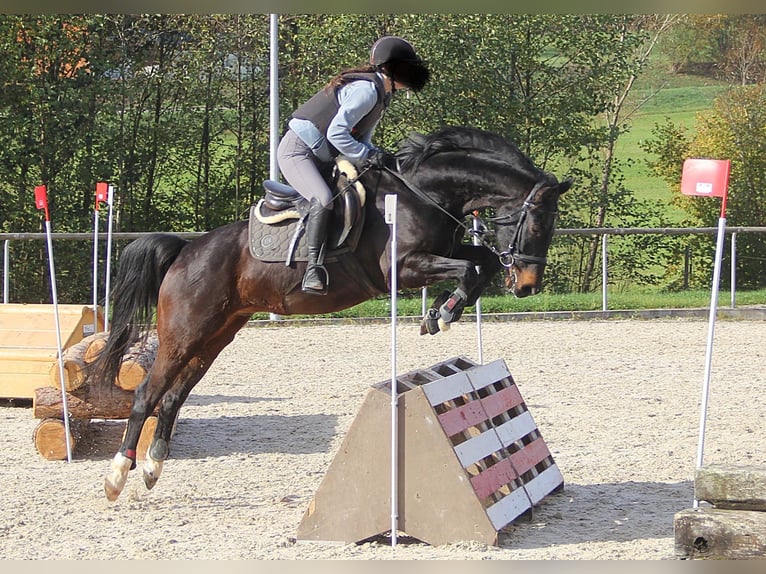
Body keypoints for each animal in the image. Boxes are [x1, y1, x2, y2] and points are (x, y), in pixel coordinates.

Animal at [90, 127, 572, 504]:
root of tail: (185, 251)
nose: (527, 286)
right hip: (184, 333)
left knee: (173, 397)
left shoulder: (442, 253)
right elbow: (471, 268)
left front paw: (441, 312)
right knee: (147, 394)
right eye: (536, 224)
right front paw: (443, 312)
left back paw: (152, 468)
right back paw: (116, 476)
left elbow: (481, 264)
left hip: (216, 336)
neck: (423, 194)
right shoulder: (400, 268)